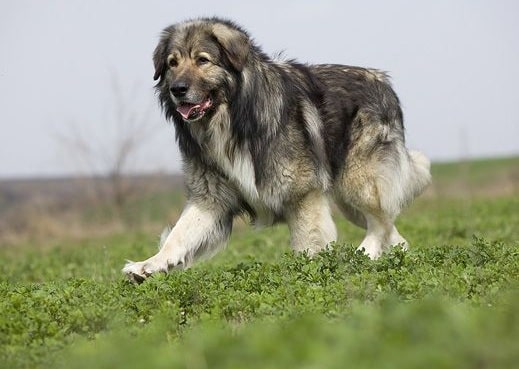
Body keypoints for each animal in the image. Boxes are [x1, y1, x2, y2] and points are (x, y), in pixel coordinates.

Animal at [122, 17, 430, 282]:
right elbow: (179, 235)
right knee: (391, 229)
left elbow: (307, 244)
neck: (232, 120)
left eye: (202, 60)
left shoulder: (302, 195)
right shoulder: (210, 197)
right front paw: (148, 265)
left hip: (359, 181)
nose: (178, 89)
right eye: (172, 63)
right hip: (348, 198)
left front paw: (307, 276)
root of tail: (383, 81)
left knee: (380, 224)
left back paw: (363, 255)